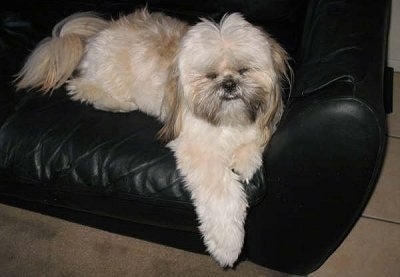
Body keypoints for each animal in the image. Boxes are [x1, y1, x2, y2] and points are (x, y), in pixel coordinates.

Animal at [14, 8, 290, 268]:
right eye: (210, 75)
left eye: (244, 70)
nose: (230, 84)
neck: (228, 120)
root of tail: (96, 34)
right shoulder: (199, 149)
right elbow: (222, 193)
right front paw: (227, 245)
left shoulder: (259, 126)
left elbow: (253, 143)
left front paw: (244, 161)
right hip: (112, 76)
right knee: (80, 87)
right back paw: (118, 104)